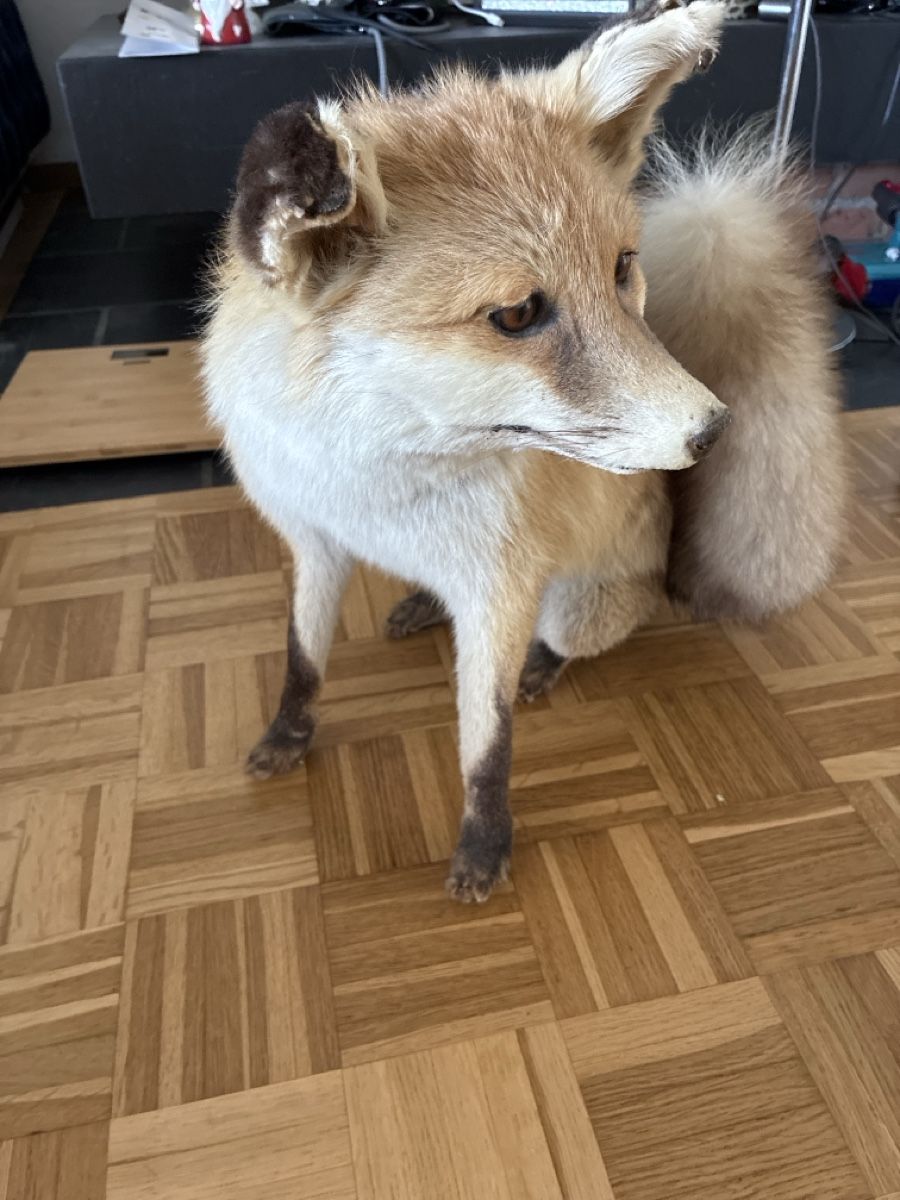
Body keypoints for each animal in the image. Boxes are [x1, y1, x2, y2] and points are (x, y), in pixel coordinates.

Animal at [202, 0, 846, 903]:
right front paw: (289, 734)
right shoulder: (316, 544)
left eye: (622, 269)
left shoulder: (499, 595)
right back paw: (419, 604)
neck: (371, 483)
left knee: (566, 642)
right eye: (516, 316)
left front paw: (483, 845)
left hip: (574, 608)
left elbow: (487, 740)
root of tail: (668, 554)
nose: (714, 430)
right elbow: (302, 659)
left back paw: (543, 664)